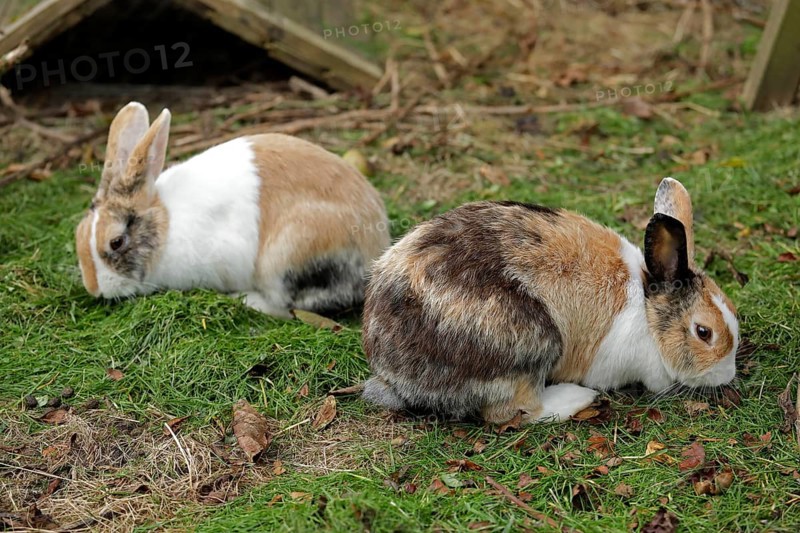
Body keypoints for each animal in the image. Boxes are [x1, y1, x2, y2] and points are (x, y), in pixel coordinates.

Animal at [76, 102, 390, 318]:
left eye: (116, 242)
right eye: (79, 233)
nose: (94, 288)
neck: (165, 226)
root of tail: (376, 245)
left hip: (284, 259)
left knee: (286, 307)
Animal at [362, 178, 739, 423]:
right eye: (703, 332)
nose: (727, 375)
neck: (648, 311)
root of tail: (392, 370)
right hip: (530, 343)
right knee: (514, 412)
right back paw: (577, 397)